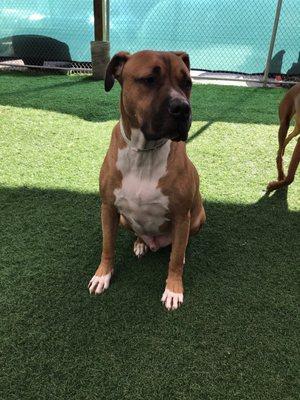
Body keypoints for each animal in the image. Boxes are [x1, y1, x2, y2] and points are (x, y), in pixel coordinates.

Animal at [88, 50, 205, 310]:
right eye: (149, 80)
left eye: (187, 83)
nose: (183, 108)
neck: (144, 151)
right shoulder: (108, 208)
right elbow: (107, 246)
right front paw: (103, 274)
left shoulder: (182, 215)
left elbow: (174, 260)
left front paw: (173, 289)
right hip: (123, 219)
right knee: (138, 232)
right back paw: (141, 243)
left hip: (197, 217)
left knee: (179, 246)